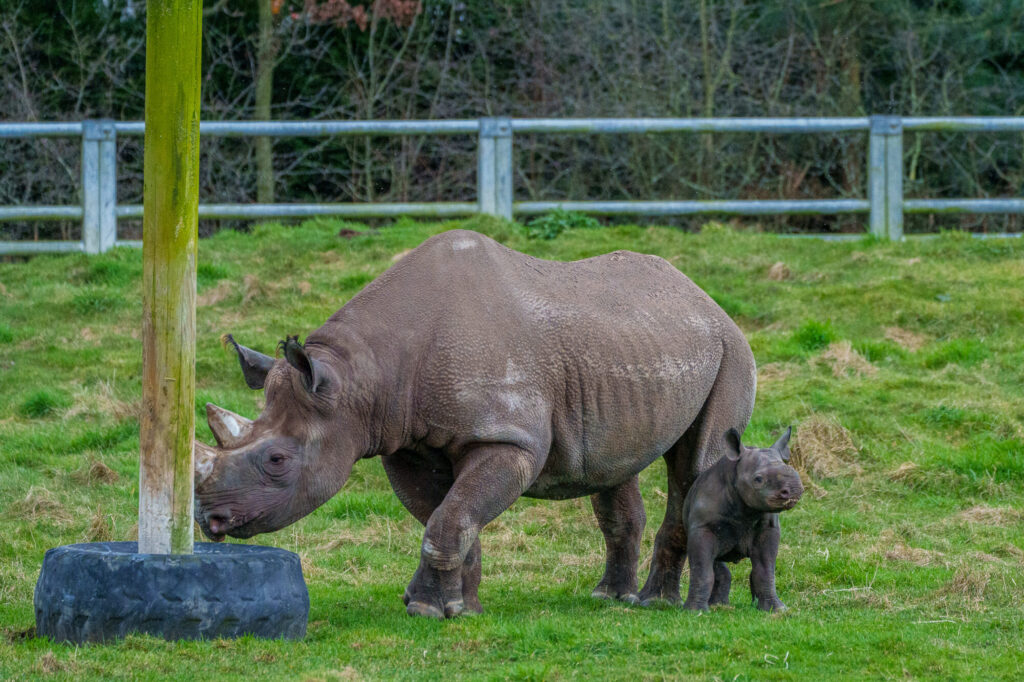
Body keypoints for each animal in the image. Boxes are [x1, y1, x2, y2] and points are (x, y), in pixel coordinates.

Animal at [194, 229, 757, 619]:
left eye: (277, 460)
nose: (210, 521)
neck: (360, 378)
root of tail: (702, 297)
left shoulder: (509, 440)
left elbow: (451, 517)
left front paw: (429, 609)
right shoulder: (406, 443)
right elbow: (447, 516)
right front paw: (455, 607)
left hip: (729, 350)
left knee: (697, 465)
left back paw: (675, 605)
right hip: (636, 350)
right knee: (615, 467)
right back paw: (612, 598)